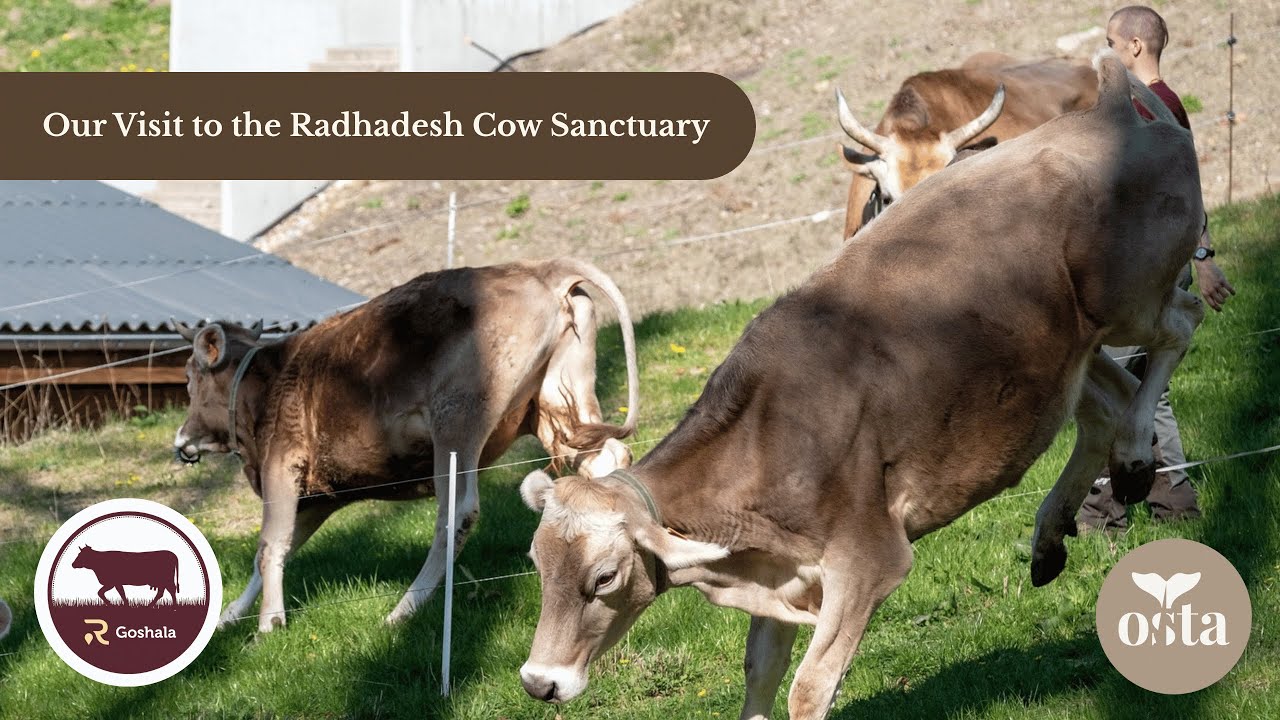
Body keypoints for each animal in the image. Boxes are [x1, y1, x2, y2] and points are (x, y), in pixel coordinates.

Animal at [172, 258, 640, 633]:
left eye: (189, 379)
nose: (181, 440)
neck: (269, 380)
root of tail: (539, 268)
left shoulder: (281, 465)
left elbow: (269, 545)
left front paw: (269, 622)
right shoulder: (319, 496)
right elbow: (279, 548)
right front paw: (231, 614)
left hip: (458, 420)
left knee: (458, 512)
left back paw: (405, 609)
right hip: (556, 405)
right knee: (607, 462)